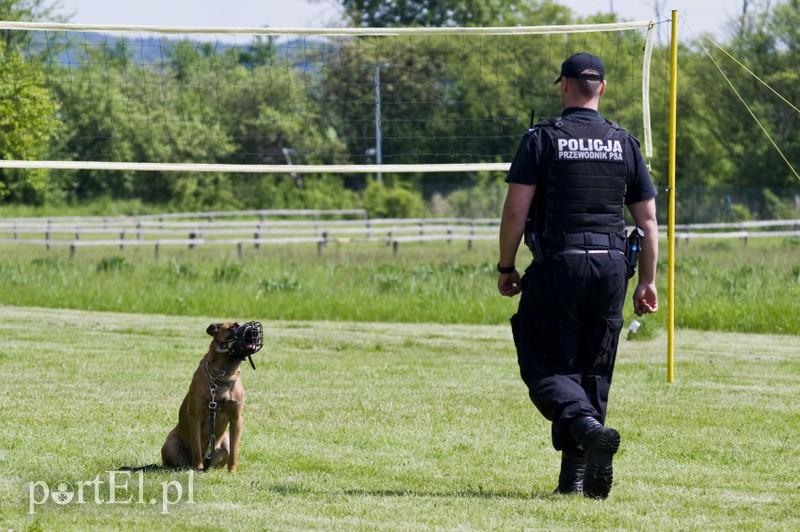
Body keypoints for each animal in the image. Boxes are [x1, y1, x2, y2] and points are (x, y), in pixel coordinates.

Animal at [161, 322, 264, 472]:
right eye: (234, 326)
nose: (255, 330)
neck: (223, 375)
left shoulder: (237, 418)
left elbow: (235, 450)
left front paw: (232, 471)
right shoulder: (195, 417)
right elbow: (197, 449)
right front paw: (198, 469)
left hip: (225, 442)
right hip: (172, 442)